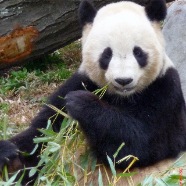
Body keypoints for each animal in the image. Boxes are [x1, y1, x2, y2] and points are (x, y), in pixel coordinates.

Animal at [0, 0, 186, 184]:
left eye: (138, 52)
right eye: (107, 54)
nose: (123, 80)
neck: (122, 98)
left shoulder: (165, 93)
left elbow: (139, 146)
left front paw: (81, 103)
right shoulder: (81, 82)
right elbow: (41, 138)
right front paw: (8, 155)